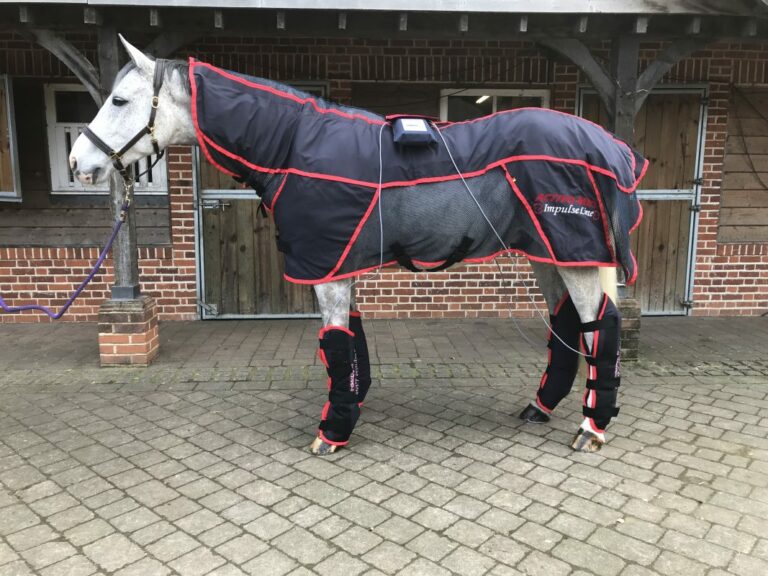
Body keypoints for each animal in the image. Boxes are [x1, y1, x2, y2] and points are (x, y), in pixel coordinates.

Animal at [70, 37, 647, 456]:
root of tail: (610, 145)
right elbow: (350, 343)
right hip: (552, 252)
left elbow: (336, 344)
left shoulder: (327, 269)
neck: (294, 147)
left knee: (600, 327)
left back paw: (591, 428)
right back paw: (541, 408)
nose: (79, 163)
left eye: (119, 100)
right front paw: (352, 407)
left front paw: (332, 432)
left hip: (574, 254)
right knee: (566, 322)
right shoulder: (337, 264)